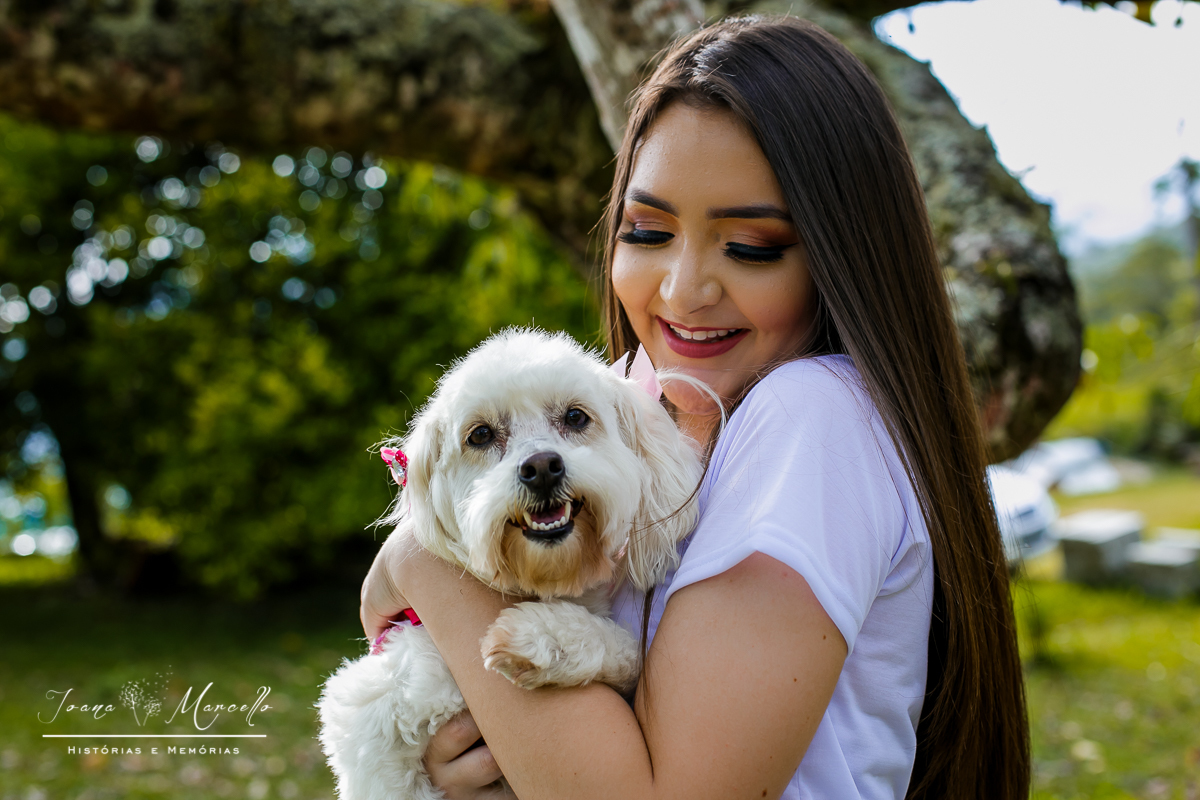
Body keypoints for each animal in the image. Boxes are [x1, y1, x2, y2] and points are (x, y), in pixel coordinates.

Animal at [317, 328, 705, 800]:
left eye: (575, 417)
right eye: (480, 435)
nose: (541, 467)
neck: (542, 581)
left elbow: (628, 650)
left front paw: (544, 639)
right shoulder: (370, 717)